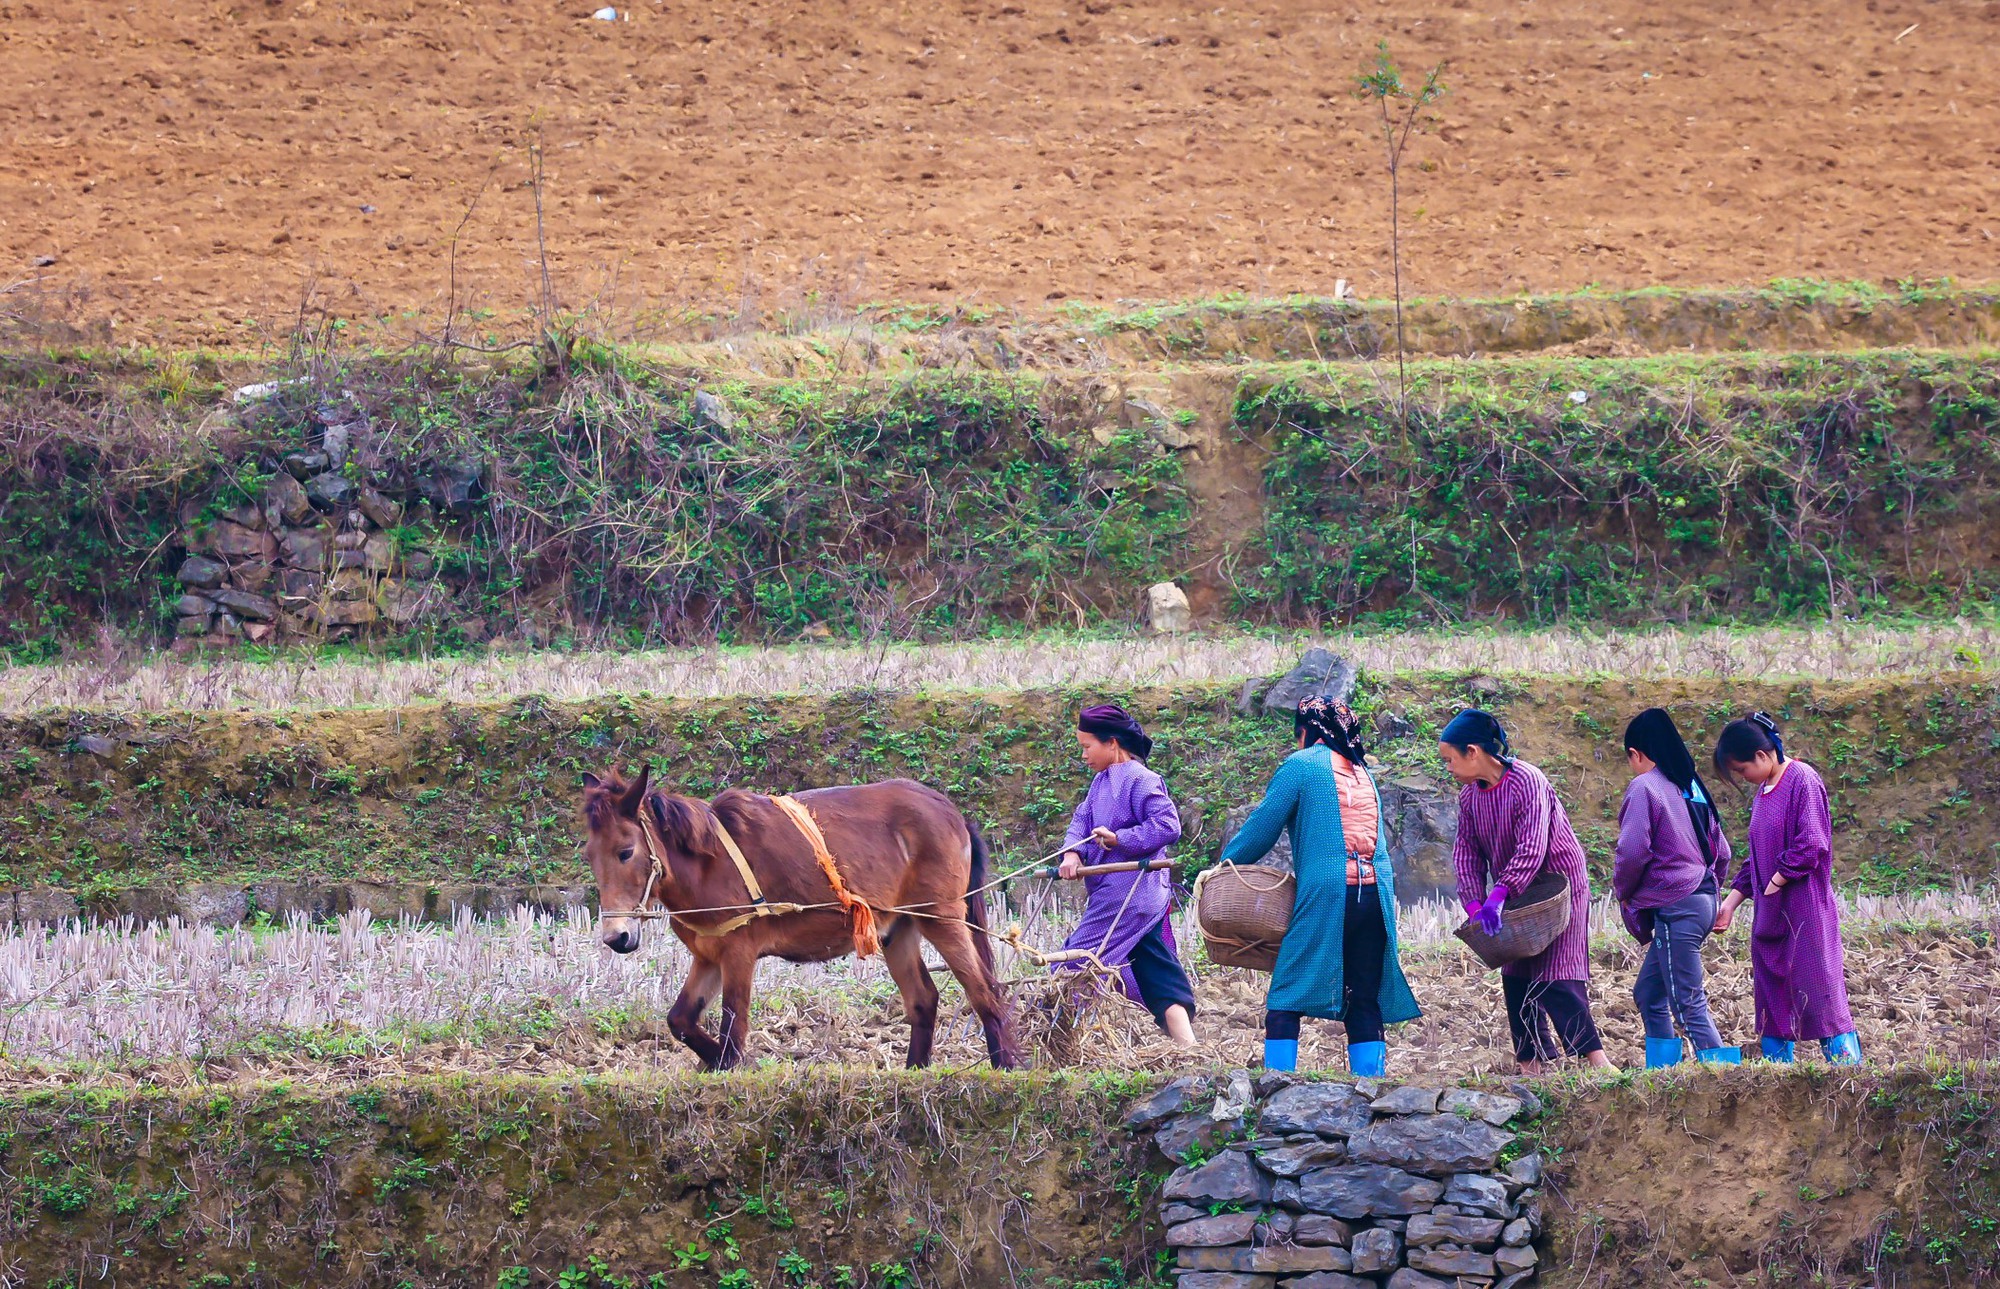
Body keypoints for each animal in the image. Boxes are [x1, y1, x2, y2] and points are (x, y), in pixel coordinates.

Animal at [576, 768, 1016, 1072]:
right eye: (590, 856)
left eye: (626, 852)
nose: (616, 937)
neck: (705, 865)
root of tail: (953, 812)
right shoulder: (708, 956)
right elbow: (679, 1020)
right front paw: (716, 1062)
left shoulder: (738, 953)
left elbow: (733, 1028)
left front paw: (731, 1066)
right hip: (897, 929)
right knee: (924, 1000)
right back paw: (914, 1072)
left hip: (942, 917)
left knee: (985, 991)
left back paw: (1006, 1067)